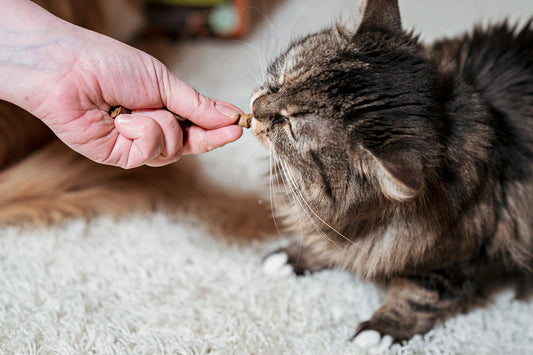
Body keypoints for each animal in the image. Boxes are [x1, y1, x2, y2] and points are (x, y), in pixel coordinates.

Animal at [251, 0, 532, 348]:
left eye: (289, 123)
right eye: (280, 81)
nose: (254, 107)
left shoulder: (453, 256)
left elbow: (417, 298)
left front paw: (381, 329)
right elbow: (330, 244)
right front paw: (294, 257)